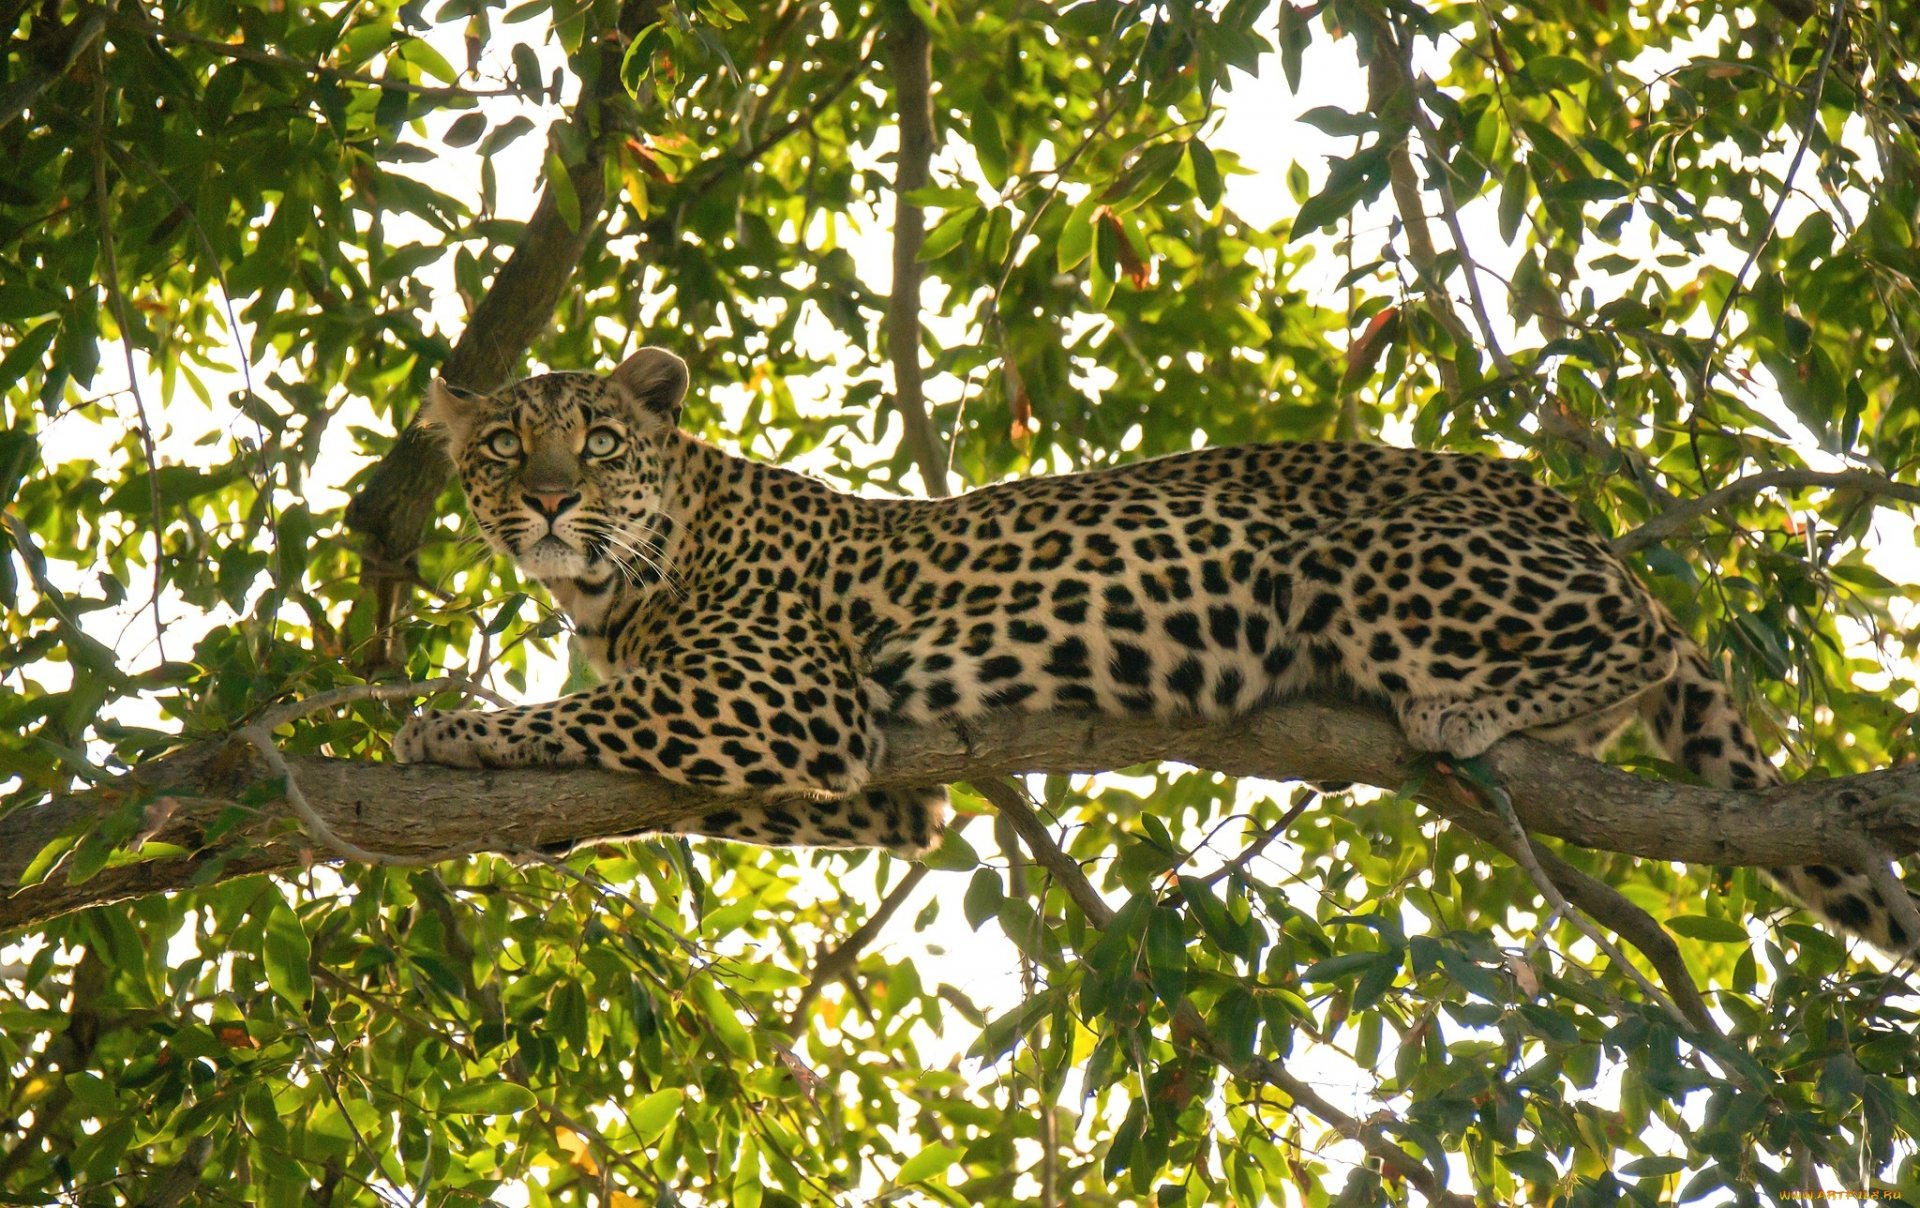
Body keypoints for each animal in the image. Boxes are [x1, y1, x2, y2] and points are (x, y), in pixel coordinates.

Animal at [395, 344, 1914, 954]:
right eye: (499, 447)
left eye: (597, 441)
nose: (549, 502)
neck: (612, 594)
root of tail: (1564, 503)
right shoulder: (880, 793)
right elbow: (652, 771)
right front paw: (531, 819)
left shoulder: (789, 694)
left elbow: (578, 713)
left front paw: (441, 727)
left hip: (1377, 562)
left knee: (1644, 634)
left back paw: (1470, 710)